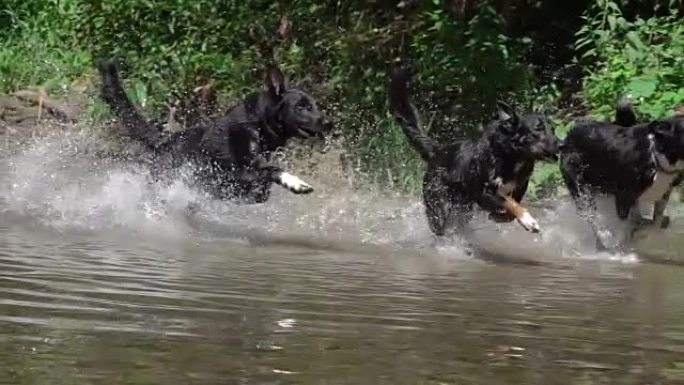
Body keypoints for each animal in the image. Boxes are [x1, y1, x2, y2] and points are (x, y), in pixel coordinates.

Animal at [98, 58, 332, 202]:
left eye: (314, 105)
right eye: (300, 107)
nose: (328, 123)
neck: (257, 124)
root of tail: (165, 140)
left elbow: (262, 185)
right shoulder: (236, 174)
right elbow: (271, 170)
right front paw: (295, 182)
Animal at [388, 68, 560, 236]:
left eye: (551, 129)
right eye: (537, 130)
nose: (561, 144)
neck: (509, 156)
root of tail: (439, 151)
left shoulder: (519, 187)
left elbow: (510, 209)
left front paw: (499, 217)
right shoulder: (484, 191)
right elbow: (509, 202)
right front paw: (527, 220)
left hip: (463, 208)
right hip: (439, 205)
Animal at [560, 102, 684, 250]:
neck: (656, 157)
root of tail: (569, 135)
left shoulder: (664, 193)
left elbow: (655, 223)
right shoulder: (623, 198)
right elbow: (626, 227)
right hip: (580, 188)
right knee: (591, 214)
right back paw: (605, 238)